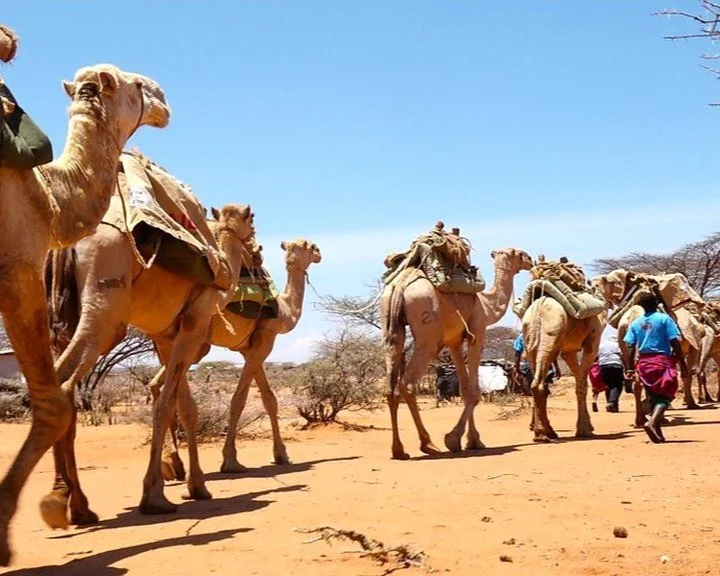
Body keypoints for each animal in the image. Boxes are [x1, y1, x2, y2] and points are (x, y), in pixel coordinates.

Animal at [40, 203, 256, 530]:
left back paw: (77, 506)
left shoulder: (167, 336)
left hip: (64, 318)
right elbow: (165, 405)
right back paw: (64, 502)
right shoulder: (195, 321)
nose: (257, 248)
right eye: (252, 220)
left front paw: (197, 486)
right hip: (106, 308)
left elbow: (186, 407)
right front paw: (155, 497)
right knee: (68, 382)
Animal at [153, 239, 322, 479]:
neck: (285, 309)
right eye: (311, 246)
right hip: (193, 338)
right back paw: (173, 465)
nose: (319, 254)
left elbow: (269, 399)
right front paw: (231, 461)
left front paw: (281, 454)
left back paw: (172, 464)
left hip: (177, 340)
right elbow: (239, 399)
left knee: (156, 386)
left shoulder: (250, 348)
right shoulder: (265, 340)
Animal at [381, 248, 533, 460]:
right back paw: (428, 444)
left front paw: (471, 440)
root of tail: (401, 284)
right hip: (428, 335)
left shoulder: (454, 341)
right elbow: (474, 392)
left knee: (390, 386)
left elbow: (464, 389)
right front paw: (456, 439)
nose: (531, 260)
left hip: (390, 325)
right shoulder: (477, 332)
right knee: (408, 384)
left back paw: (399, 450)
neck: (487, 304)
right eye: (519, 253)